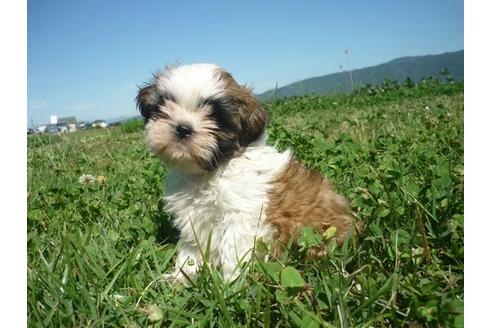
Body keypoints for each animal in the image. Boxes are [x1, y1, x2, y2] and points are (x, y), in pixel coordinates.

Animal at [136, 64, 356, 282]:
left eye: (215, 117)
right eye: (164, 106)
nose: (183, 128)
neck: (212, 171)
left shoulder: (242, 216)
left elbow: (233, 249)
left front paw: (230, 284)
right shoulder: (194, 217)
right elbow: (192, 247)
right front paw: (182, 275)